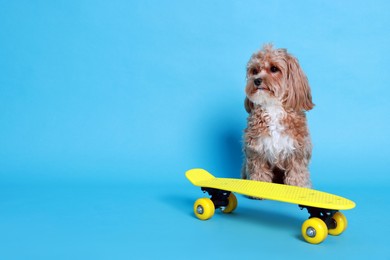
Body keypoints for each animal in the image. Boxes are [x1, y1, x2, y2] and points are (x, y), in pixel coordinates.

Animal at [241, 44, 314, 187]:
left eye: (274, 69)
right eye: (255, 70)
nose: (256, 80)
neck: (273, 106)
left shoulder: (297, 153)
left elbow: (297, 176)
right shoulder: (257, 152)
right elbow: (259, 174)